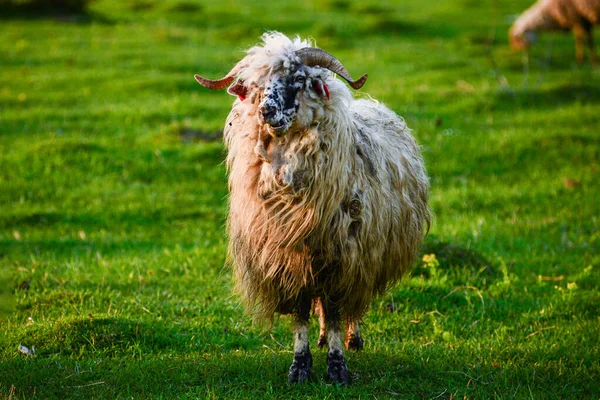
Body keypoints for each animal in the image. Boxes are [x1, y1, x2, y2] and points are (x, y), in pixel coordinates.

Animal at [196, 32, 432, 384]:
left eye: (299, 79)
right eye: (254, 86)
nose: (266, 111)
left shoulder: (339, 258)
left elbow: (334, 311)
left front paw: (337, 367)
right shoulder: (286, 261)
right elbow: (301, 313)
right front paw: (300, 366)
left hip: (362, 256)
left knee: (349, 307)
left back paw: (353, 337)